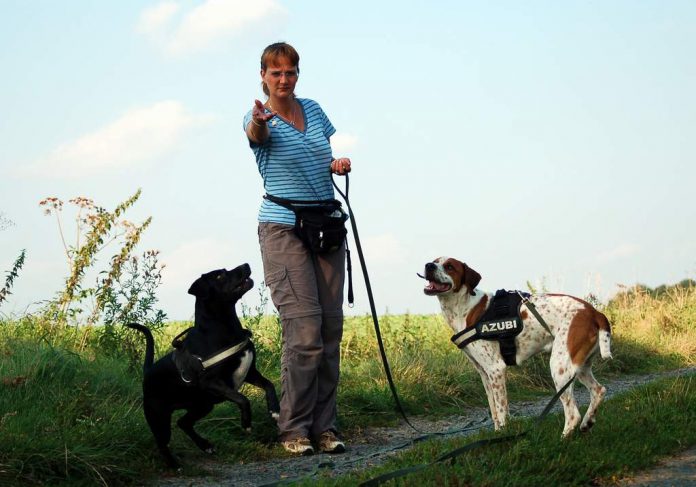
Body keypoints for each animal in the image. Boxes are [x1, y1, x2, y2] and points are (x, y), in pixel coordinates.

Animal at [126, 264, 278, 470]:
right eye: (220, 276)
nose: (246, 265)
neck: (225, 328)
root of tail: (147, 372)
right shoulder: (212, 382)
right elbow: (242, 398)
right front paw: (246, 423)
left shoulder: (250, 373)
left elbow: (269, 385)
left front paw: (275, 410)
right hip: (159, 417)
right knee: (162, 442)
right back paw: (174, 465)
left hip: (203, 405)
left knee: (183, 422)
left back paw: (205, 446)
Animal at [422, 260, 612, 438]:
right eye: (435, 260)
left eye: (449, 266)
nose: (428, 265)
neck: (464, 308)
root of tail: (594, 312)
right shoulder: (484, 372)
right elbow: (493, 409)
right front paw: (497, 433)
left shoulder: (496, 369)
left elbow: (501, 409)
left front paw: (504, 433)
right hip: (578, 366)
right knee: (598, 390)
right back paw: (587, 423)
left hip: (559, 367)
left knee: (573, 414)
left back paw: (563, 438)